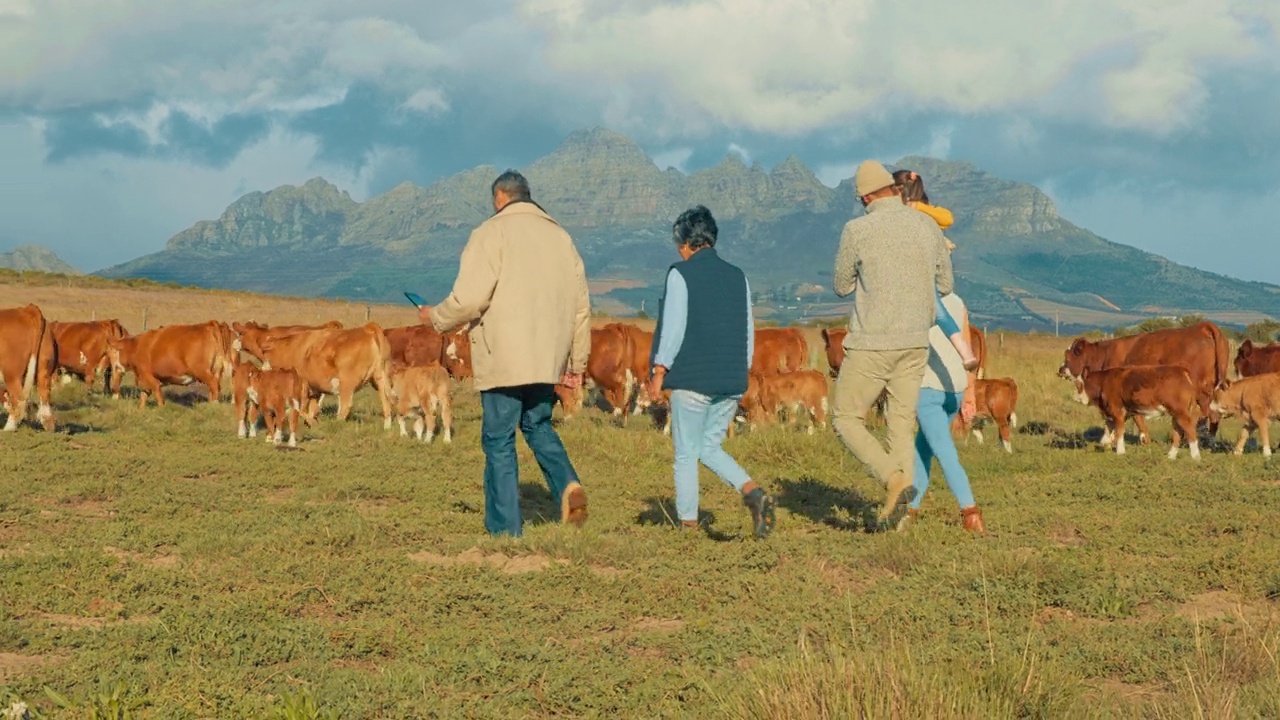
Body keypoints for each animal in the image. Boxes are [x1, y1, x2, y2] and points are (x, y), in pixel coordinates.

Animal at [106, 322, 236, 407]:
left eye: (113, 351)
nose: (113, 367)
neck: (136, 346)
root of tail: (210, 324)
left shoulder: (150, 378)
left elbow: (158, 394)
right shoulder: (144, 380)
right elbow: (143, 397)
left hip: (202, 372)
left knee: (214, 386)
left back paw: (212, 405)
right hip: (216, 371)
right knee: (215, 387)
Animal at [250, 322, 386, 422]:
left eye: (265, 354)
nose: (262, 370)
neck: (293, 349)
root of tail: (367, 328)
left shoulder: (303, 383)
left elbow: (302, 405)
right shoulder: (315, 387)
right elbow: (312, 406)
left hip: (347, 384)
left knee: (345, 405)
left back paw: (338, 421)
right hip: (379, 380)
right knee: (386, 402)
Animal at [1059, 324, 1228, 435]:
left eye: (1069, 356)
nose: (1061, 370)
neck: (1105, 354)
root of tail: (1201, 327)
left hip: (1201, 391)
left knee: (1206, 413)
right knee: (1214, 415)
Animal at [1075, 363, 1203, 458]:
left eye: (1078, 385)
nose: (1075, 398)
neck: (1105, 381)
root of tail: (1182, 370)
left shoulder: (1117, 411)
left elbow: (1119, 432)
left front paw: (1120, 452)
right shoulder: (1115, 413)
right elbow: (1108, 429)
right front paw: (1105, 445)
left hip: (1181, 413)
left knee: (1190, 432)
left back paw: (1195, 458)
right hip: (1177, 414)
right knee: (1178, 432)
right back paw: (1171, 456)